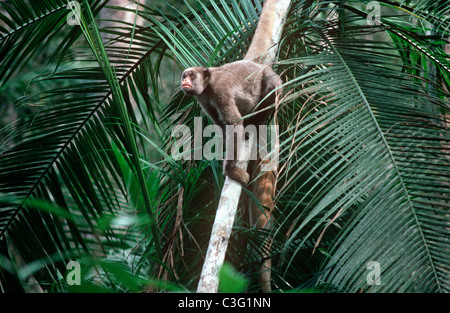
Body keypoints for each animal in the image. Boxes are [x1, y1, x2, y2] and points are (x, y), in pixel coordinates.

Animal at [180, 0, 282, 292]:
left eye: (190, 75)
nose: (184, 81)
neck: (208, 83)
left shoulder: (219, 90)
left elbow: (233, 124)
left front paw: (231, 171)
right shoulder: (203, 98)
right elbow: (222, 127)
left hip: (272, 82)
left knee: (271, 87)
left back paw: (258, 118)